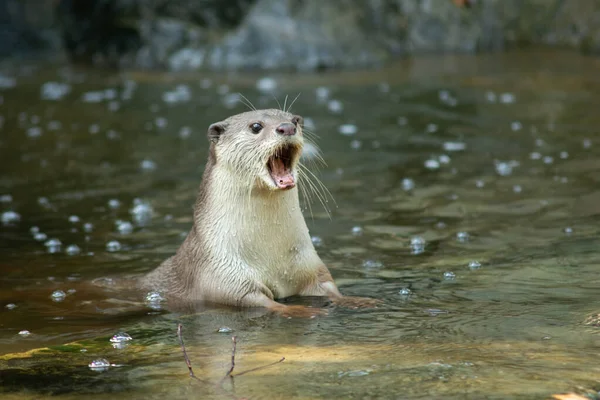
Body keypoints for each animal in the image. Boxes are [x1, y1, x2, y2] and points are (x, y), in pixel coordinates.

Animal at [141, 108, 378, 316]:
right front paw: (299, 310)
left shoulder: (310, 265)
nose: (287, 128)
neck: (270, 253)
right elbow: (260, 301)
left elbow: (328, 287)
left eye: (295, 120)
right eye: (256, 126)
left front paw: (359, 300)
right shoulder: (223, 276)